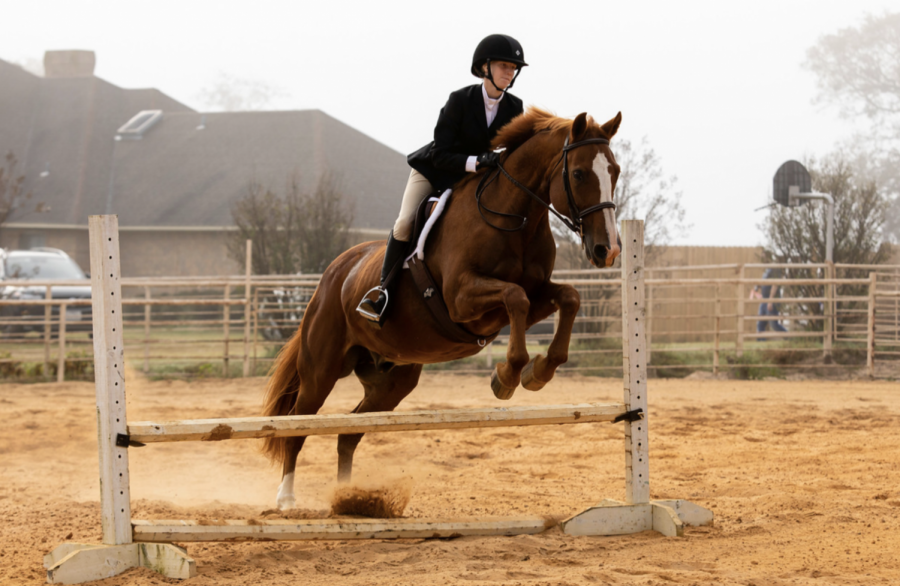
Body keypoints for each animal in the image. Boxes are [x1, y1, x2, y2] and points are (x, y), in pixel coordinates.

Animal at [264, 108, 624, 506]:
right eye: (578, 173)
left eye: (615, 171)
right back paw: (286, 498)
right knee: (297, 425)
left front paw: (539, 371)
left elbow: (567, 297)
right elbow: (515, 296)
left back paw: (348, 498)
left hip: (391, 382)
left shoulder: (534, 297)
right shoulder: (461, 299)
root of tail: (333, 273)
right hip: (321, 369)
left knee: (350, 431)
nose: (607, 250)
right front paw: (508, 376)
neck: (515, 218)